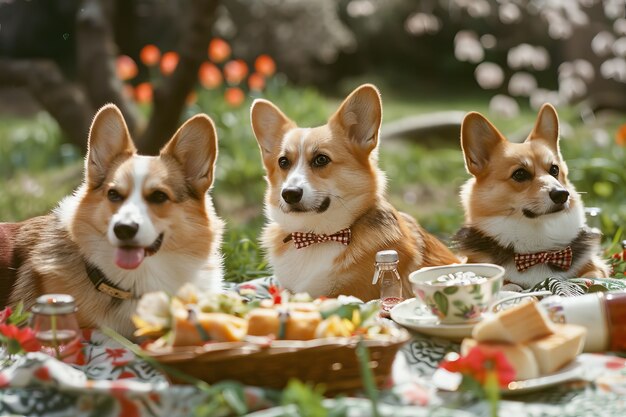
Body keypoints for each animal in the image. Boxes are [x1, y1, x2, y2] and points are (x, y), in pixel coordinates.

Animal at [450, 103, 608, 290]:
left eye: (554, 170)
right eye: (519, 174)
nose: (562, 194)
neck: (537, 251)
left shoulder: (595, 267)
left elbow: (591, 276)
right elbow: (509, 286)